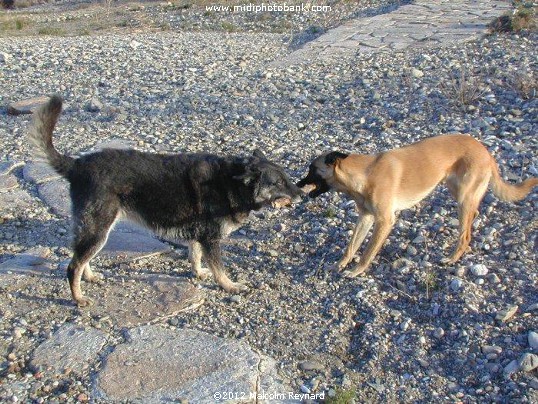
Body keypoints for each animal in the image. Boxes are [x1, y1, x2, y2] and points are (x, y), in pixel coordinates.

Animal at [29, 96, 302, 308]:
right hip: (98, 228)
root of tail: (76, 165)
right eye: (278, 182)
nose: (301, 193)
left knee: (80, 257)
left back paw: (89, 277)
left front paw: (198, 272)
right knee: (73, 265)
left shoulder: (198, 235)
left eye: (286, 178)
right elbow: (219, 268)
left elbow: (195, 255)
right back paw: (78, 298)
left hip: (96, 230)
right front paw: (229, 286)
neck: (230, 183)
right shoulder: (211, 239)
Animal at [298, 134, 536, 276]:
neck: (364, 174)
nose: (299, 184)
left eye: (312, 169)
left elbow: (367, 252)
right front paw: (341, 263)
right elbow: (352, 245)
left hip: (463, 198)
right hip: (457, 191)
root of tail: (485, 150)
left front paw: (357, 270)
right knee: (473, 216)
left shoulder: (384, 221)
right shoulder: (365, 217)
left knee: (465, 235)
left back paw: (452, 258)